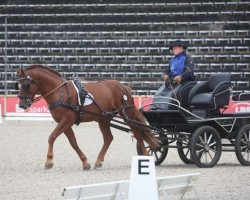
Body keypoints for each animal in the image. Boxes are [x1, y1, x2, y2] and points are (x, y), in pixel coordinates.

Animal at [16, 65, 160, 170]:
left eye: (26, 85)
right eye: (18, 85)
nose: (22, 105)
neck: (60, 92)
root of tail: (123, 86)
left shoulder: (67, 120)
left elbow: (52, 137)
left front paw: (49, 161)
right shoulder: (65, 123)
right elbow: (73, 142)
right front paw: (85, 162)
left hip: (127, 115)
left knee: (138, 134)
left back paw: (146, 157)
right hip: (103, 119)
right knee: (109, 138)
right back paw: (98, 161)